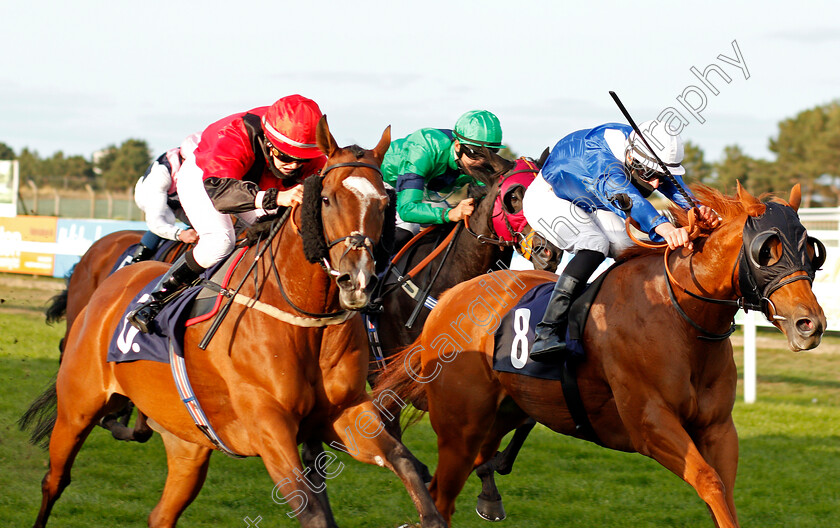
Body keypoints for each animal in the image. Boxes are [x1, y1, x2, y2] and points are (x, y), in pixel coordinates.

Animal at [19, 116, 446, 528]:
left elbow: (406, 464)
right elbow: (313, 511)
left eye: (384, 203)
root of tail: (111, 283)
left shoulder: (345, 413)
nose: (357, 280)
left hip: (187, 442)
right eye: (325, 199)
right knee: (54, 480)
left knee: (161, 514)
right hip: (78, 407)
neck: (306, 320)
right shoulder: (269, 426)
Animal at [374, 184, 828, 524]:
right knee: (443, 495)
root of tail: (449, 301)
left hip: (505, 413)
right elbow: (709, 481)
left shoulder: (718, 428)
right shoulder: (650, 425)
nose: (810, 324)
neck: (680, 316)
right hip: (459, 426)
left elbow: (726, 493)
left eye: (812, 251)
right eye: (767, 250)